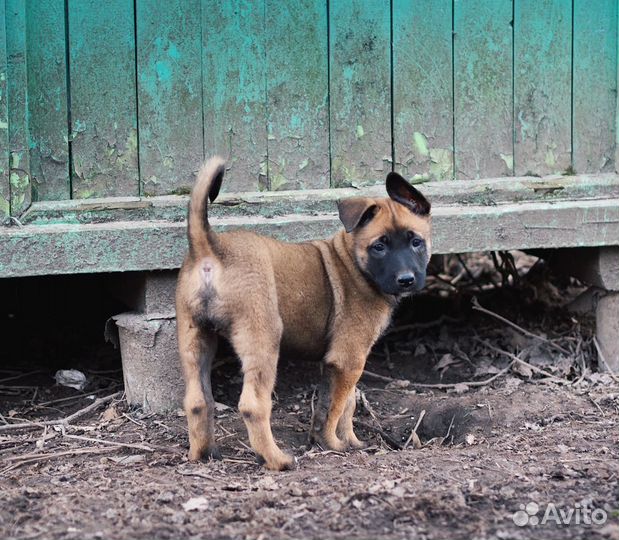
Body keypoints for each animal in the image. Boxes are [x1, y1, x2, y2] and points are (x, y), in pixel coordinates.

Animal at [177, 156, 434, 468]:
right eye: (379, 246)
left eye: (416, 241)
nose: (406, 279)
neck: (353, 263)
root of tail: (211, 247)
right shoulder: (348, 359)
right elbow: (337, 407)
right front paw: (333, 443)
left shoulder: (338, 363)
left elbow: (341, 403)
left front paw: (347, 440)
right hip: (262, 339)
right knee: (253, 405)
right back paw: (277, 459)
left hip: (195, 340)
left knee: (196, 401)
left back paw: (202, 454)